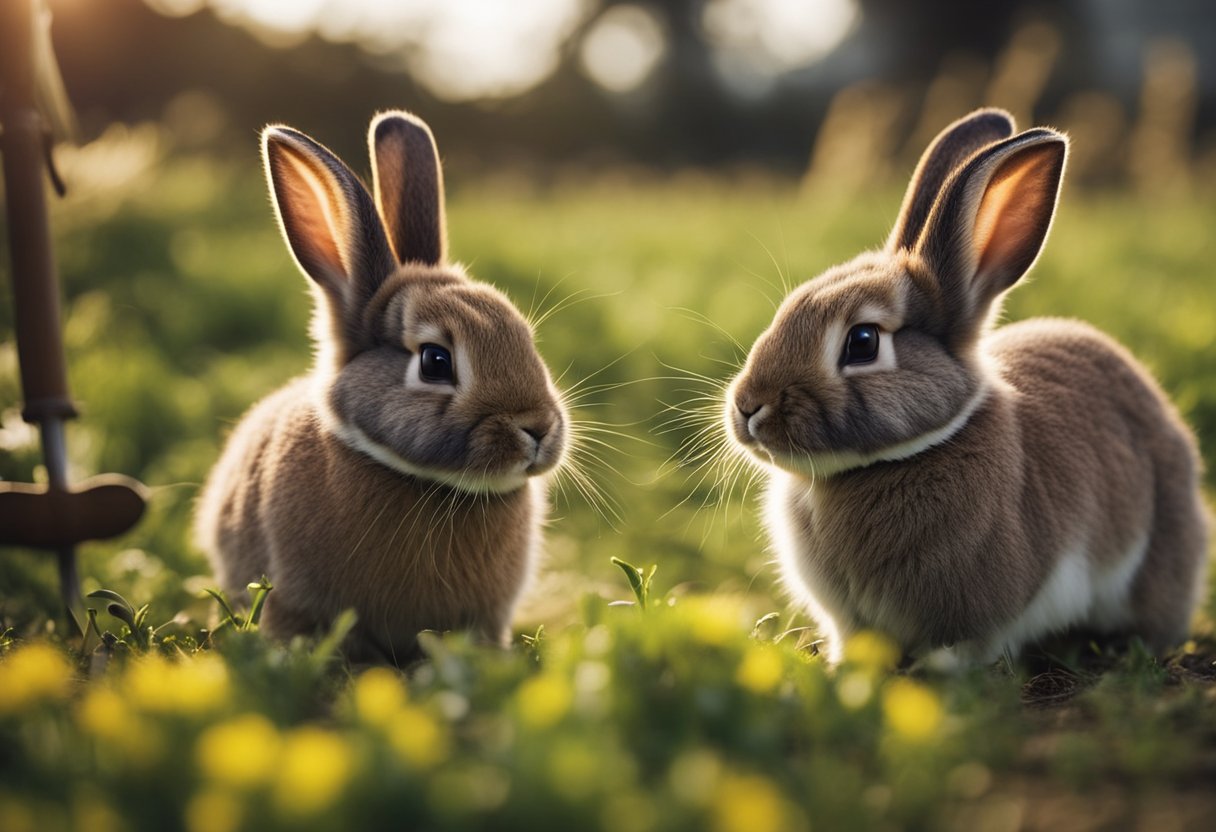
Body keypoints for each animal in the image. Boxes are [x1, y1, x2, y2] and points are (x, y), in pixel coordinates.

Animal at [725, 108, 1208, 666]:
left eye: (862, 342)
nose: (747, 407)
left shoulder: (977, 615)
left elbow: (960, 650)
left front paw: (933, 675)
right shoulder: (850, 620)